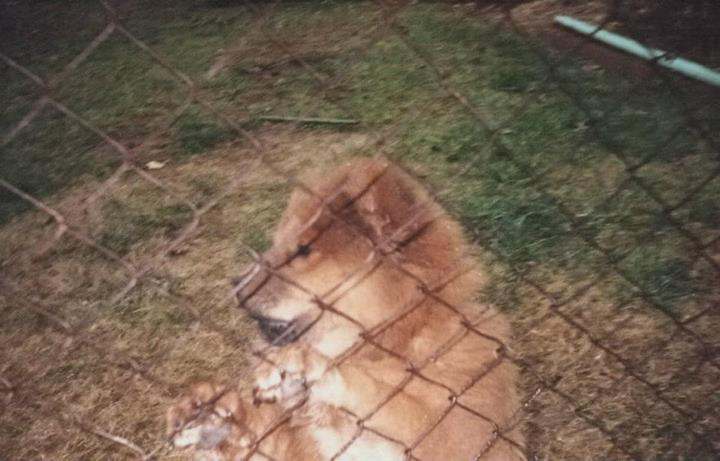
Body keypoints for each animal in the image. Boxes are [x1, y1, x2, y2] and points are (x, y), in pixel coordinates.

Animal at [168, 159, 524, 460]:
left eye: (303, 251)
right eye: (277, 242)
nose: (235, 285)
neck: (395, 343)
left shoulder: (463, 433)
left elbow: (385, 397)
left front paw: (302, 364)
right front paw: (210, 412)